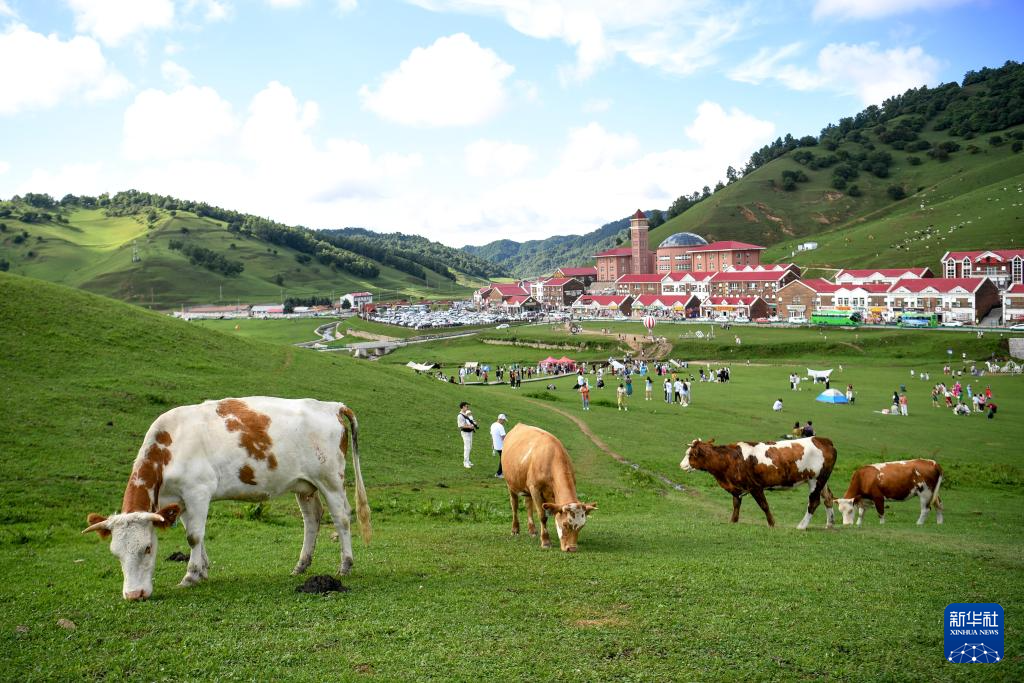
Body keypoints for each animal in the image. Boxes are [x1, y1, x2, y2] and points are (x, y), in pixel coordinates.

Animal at [82, 397, 372, 602]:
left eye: (147, 548)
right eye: (115, 553)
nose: (134, 595)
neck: (169, 445)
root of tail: (331, 406)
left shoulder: (198, 491)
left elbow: (194, 536)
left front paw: (190, 576)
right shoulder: (181, 500)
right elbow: (193, 535)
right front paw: (203, 569)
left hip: (330, 479)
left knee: (341, 518)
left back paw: (345, 565)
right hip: (305, 485)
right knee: (312, 519)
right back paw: (301, 566)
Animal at [499, 423, 598, 552]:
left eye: (582, 526)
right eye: (565, 524)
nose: (572, 548)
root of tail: (519, 425)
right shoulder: (535, 489)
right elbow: (542, 516)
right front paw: (545, 541)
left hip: (527, 488)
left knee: (528, 504)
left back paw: (532, 530)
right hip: (511, 484)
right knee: (514, 505)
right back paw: (515, 529)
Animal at [675, 438, 835, 528]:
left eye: (690, 454)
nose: (681, 465)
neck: (730, 459)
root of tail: (824, 440)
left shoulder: (755, 486)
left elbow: (764, 506)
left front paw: (772, 524)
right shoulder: (736, 488)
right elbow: (736, 505)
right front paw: (733, 521)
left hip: (815, 480)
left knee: (813, 502)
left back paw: (801, 526)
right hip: (822, 481)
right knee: (828, 499)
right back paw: (830, 524)